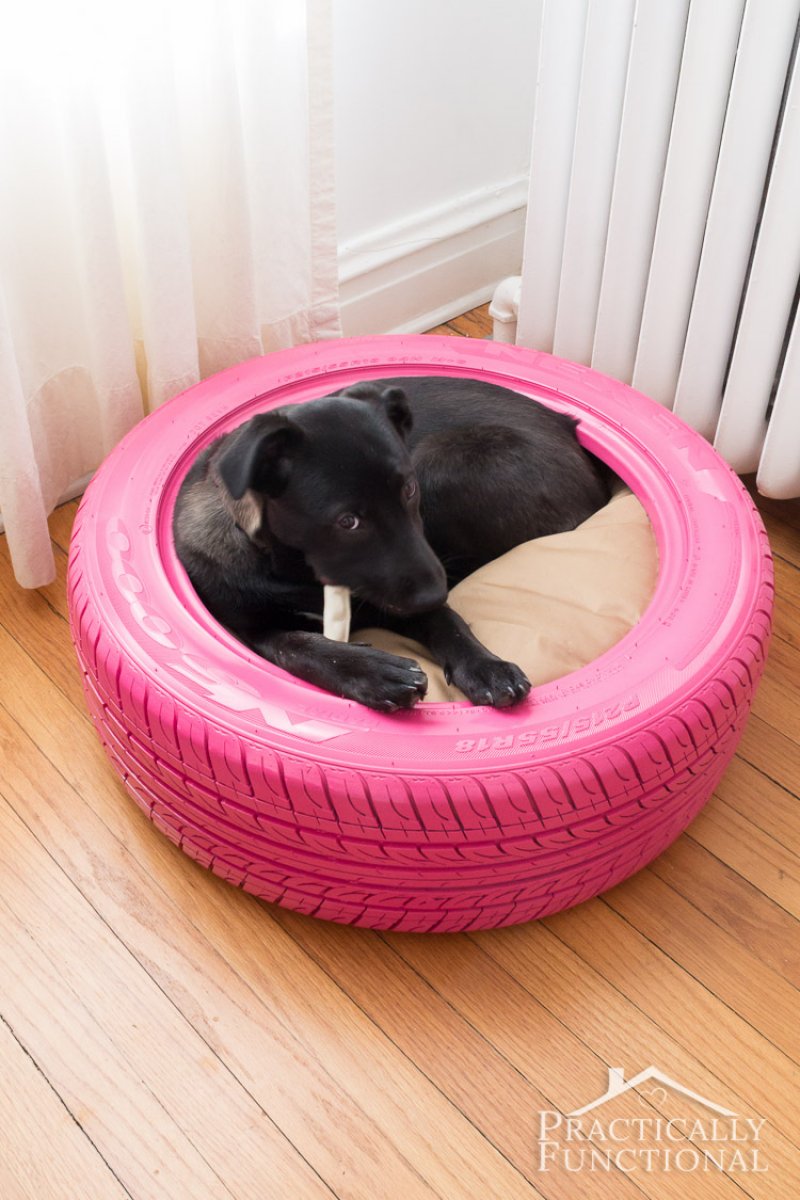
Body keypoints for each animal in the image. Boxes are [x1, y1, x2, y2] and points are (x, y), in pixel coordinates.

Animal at [173, 379, 606, 705]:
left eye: (409, 490)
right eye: (347, 521)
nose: (436, 593)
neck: (300, 572)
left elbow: (447, 622)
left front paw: (486, 667)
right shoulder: (248, 632)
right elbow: (300, 646)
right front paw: (373, 672)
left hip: (441, 462)